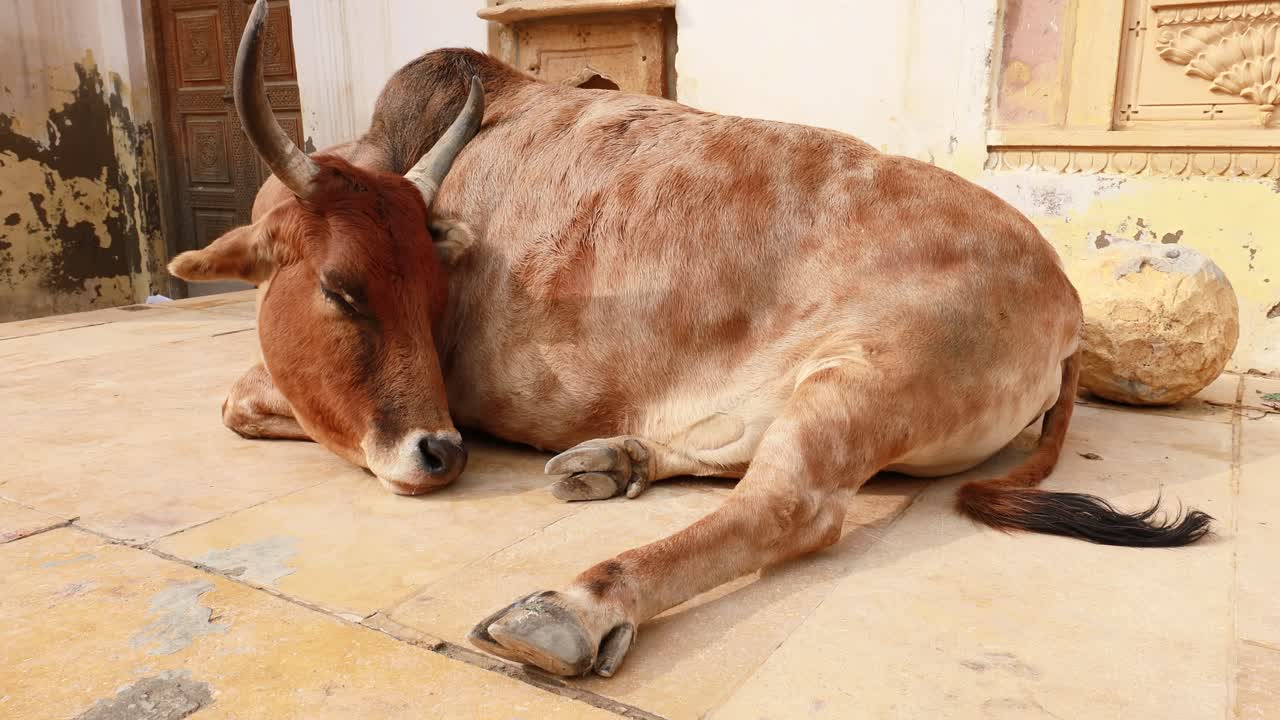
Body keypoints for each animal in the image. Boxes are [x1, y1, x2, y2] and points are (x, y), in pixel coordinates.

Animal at [168, 0, 1212, 679]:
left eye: (423, 297)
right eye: (344, 290)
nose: (440, 452)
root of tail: (1067, 296)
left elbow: (236, 401)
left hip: (864, 381)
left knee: (791, 507)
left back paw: (575, 605)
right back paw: (611, 462)